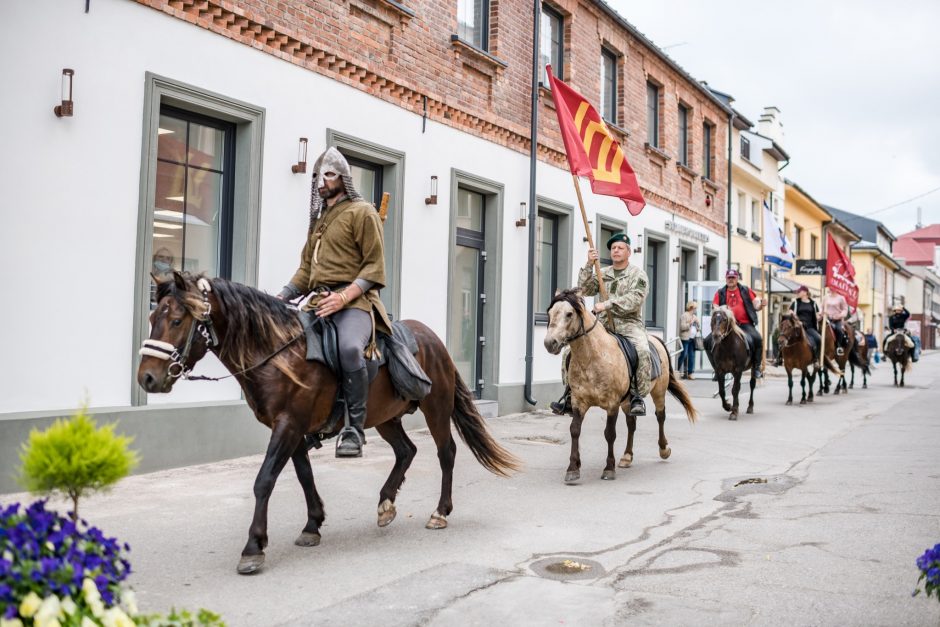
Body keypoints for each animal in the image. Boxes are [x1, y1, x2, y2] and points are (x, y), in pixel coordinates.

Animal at [139, 272, 516, 576]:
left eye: (177, 320)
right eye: (153, 316)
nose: (147, 378)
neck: (279, 355)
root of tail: (434, 340)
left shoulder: (288, 425)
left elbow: (264, 481)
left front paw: (254, 547)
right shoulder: (293, 428)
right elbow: (304, 475)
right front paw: (312, 524)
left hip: (435, 408)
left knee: (446, 453)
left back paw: (440, 512)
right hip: (385, 418)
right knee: (406, 450)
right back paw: (386, 503)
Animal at [544, 290, 696, 486]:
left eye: (569, 314)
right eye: (549, 313)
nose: (550, 343)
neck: (592, 357)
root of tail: (655, 340)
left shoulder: (612, 404)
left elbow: (610, 433)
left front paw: (609, 468)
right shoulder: (579, 402)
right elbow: (574, 430)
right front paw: (573, 468)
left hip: (658, 392)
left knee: (660, 416)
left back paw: (663, 449)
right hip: (627, 402)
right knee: (632, 423)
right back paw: (627, 456)